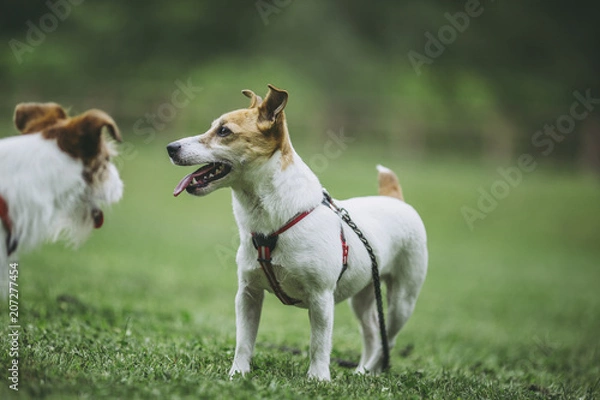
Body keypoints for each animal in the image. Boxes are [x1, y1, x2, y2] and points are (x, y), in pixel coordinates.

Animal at [168, 85, 426, 382]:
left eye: (224, 131)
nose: (170, 148)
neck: (273, 223)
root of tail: (395, 199)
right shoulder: (248, 293)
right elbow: (244, 340)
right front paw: (238, 373)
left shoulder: (321, 297)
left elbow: (319, 343)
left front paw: (318, 378)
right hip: (363, 293)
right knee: (372, 331)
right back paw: (363, 370)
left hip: (402, 301)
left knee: (388, 339)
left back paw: (370, 370)